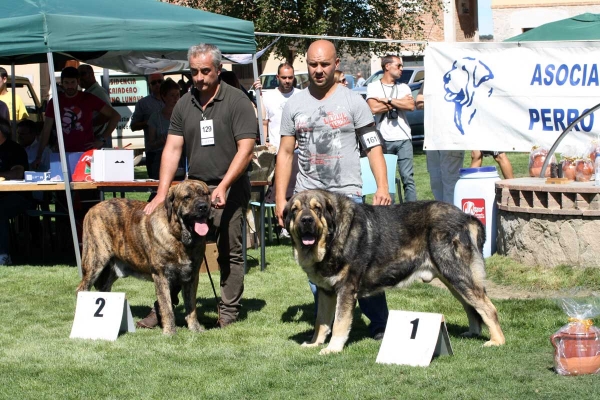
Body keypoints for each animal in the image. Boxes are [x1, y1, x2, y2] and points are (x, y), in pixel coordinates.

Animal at [75, 179, 211, 334]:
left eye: (205, 194)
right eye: (187, 197)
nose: (203, 206)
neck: (178, 237)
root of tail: (93, 208)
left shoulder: (192, 276)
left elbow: (191, 306)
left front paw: (195, 328)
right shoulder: (161, 276)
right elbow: (167, 307)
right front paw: (170, 332)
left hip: (111, 270)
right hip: (95, 262)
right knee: (81, 289)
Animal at [284, 189, 504, 354]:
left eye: (317, 209)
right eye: (295, 210)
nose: (306, 220)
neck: (332, 237)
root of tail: (467, 217)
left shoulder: (346, 289)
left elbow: (339, 321)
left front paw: (333, 348)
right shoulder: (326, 292)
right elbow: (321, 322)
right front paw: (315, 343)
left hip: (458, 275)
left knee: (488, 308)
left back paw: (497, 341)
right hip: (453, 280)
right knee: (471, 307)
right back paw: (473, 333)